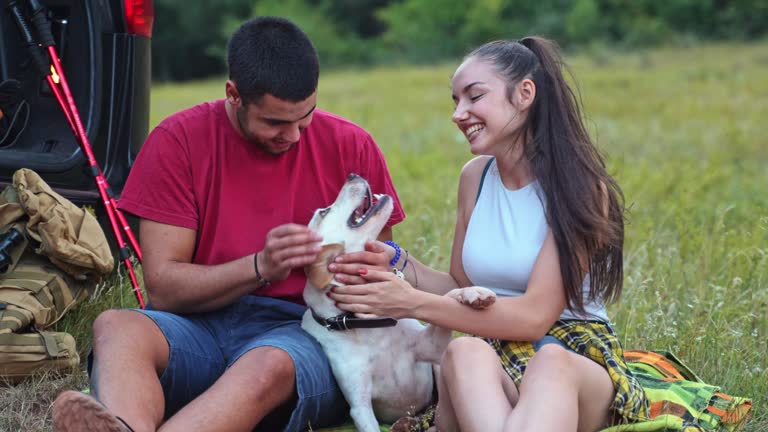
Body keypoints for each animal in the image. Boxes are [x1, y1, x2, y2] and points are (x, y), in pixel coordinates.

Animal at [300, 174, 492, 430]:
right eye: (324, 212)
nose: (353, 175)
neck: (369, 326)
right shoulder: (360, 406)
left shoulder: (432, 347)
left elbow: (445, 298)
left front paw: (472, 292)